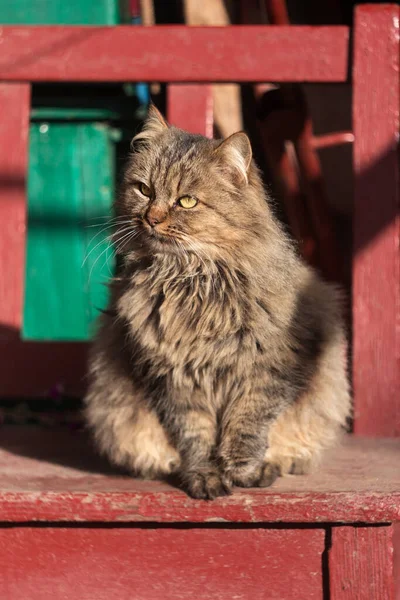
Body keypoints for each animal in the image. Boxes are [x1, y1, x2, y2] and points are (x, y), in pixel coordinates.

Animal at [85, 105, 350, 500]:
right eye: (144, 190)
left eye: (186, 201)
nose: (151, 218)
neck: (193, 280)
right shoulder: (173, 378)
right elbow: (195, 435)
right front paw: (205, 476)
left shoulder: (267, 369)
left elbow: (247, 423)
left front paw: (242, 470)